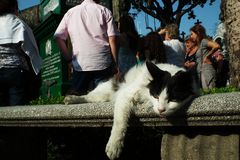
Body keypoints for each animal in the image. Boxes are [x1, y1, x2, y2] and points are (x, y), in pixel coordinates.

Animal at [63, 60, 199, 159]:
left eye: (173, 99)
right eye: (156, 95)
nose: (161, 110)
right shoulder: (125, 95)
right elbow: (119, 123)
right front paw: (114, 146)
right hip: (103, 93)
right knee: (88, 96)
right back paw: (71, 99)